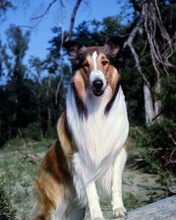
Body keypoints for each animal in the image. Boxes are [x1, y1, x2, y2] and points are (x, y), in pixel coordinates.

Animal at [32, 36, 129, 220]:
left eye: (104, 62)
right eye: (85, 65)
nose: (97, 83)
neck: (97, 108)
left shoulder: (118, 151)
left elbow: (117, 184)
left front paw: (118, 208)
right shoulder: (80, 157)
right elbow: (92, 191)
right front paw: (97, 215)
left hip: (75, 211)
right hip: (51, 204)